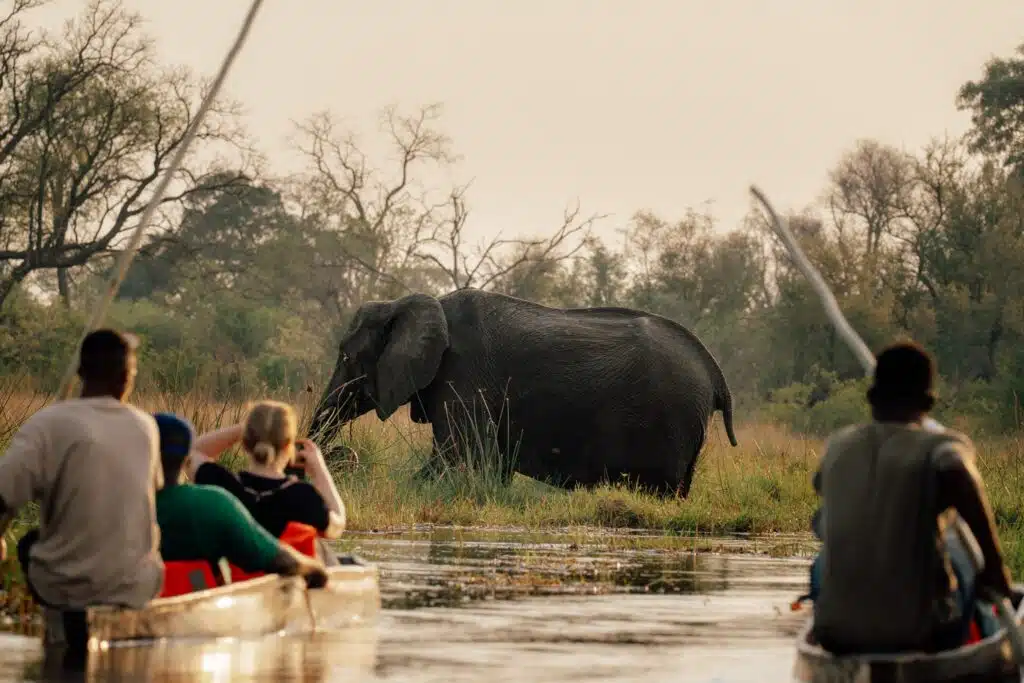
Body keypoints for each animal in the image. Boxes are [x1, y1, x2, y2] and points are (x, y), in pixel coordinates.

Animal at [307, 288, 738, 497]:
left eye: (346, 356)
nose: (344, 455)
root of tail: (717, 375)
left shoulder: (464, 375)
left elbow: (455, 457)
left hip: (670, 418)